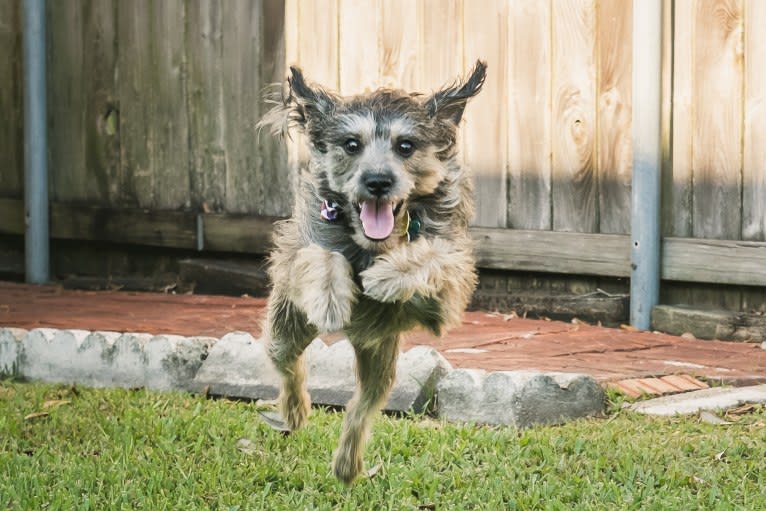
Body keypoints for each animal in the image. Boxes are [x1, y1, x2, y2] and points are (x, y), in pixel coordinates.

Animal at [258, 61, 486, 484]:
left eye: (405, 146)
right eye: (352, 144)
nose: (377, 181)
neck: (374, 244)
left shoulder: (447, 294)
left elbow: (434, 257)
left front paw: (387, 276)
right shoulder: (299, 252)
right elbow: (320, 256)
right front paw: (332, 296)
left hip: (380, 355)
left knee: (362, 406)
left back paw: (348, 464)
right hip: (286, 327)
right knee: (289, 368)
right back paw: (294, 414)